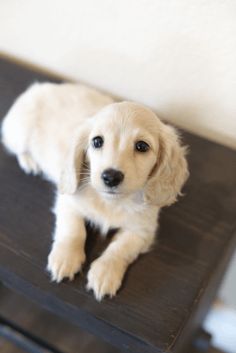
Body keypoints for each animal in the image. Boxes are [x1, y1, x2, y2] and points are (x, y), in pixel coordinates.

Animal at [0, 83, 189, 300]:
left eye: (142, 146)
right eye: (97, 141)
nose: (111, 177)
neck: (111, 201)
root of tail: (38, 87)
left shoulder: (142, 231)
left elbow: (120, 248)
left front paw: (105, 273)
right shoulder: (68, 203)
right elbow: (74, 230)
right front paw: (66, 258)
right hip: (19, 133)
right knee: (16, 147)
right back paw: (30, 162)